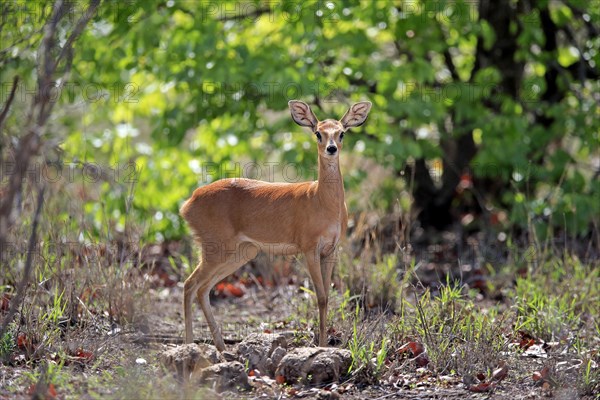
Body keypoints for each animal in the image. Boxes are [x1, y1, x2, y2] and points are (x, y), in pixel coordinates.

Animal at [180, 99, 372, 350]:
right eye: (318, 133)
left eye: (342, 133)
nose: (331, 148)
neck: (322, 201)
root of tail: (187, 204)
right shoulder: (309, 246)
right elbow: (320, 296)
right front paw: (321, 346)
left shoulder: (332, 248)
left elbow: (327, 297)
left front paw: (323, 344)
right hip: (216, 245)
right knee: (189, 284)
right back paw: (189, 345)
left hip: (242, 251)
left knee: (202, 288)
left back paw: (221, 348)